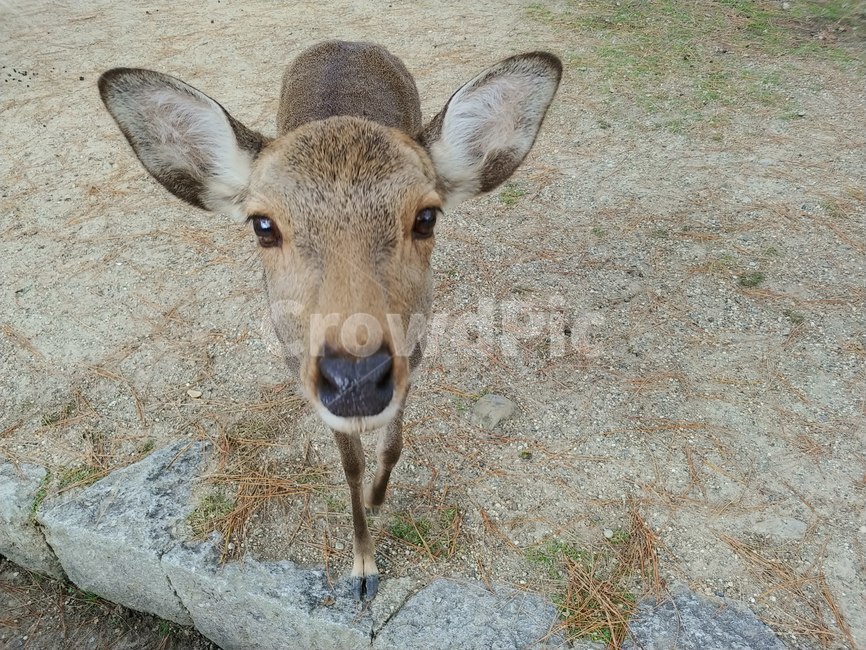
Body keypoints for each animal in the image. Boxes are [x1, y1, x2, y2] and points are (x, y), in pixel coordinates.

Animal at [98, 40, 561, 601]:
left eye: (426, 217)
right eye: (263, 224)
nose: (356, 379)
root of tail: (345, 41)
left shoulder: (416, 349)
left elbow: (394, 444)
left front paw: (381, 502)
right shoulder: (303, 373)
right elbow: (349, 464)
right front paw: (362, 569)